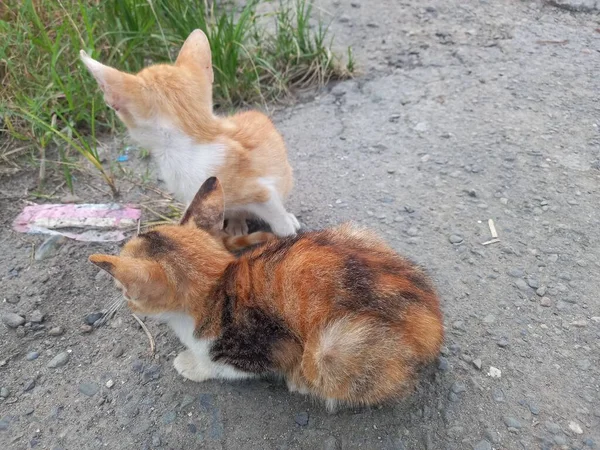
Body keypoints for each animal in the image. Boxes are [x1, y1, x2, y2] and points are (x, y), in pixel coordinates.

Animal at [89, 176, 446, 412]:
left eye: (124, 291)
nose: (124, 305)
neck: (219, 285)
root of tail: (433, 324)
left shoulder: (268, 346)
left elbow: (226, 366)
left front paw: (192, 363)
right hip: (355, 232)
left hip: (334, 349)